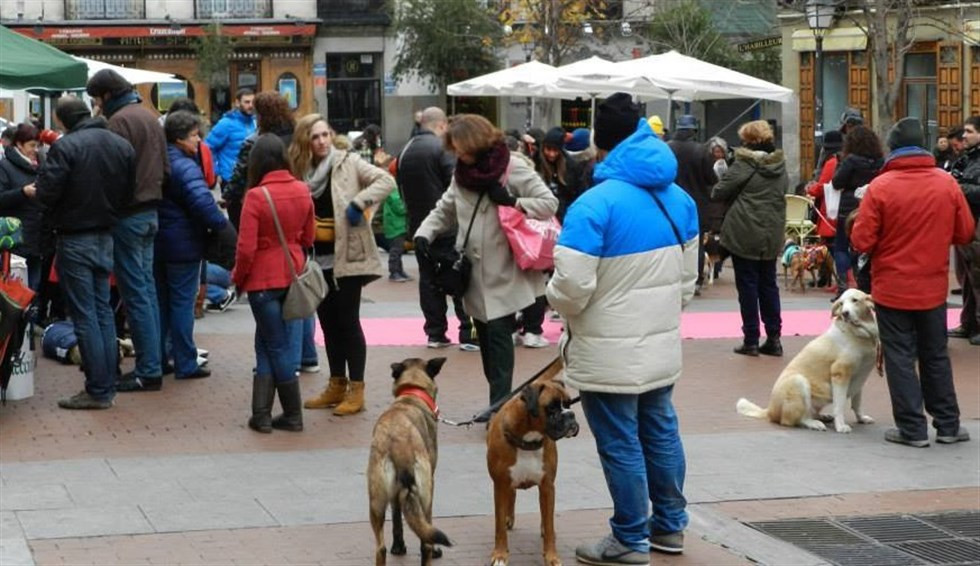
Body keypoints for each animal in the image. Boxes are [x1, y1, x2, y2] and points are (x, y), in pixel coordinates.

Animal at [368, 360, 452, 566]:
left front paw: (398, 547)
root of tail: (399, 446)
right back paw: (433, 551)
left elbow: (397, 519)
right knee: (426, 542)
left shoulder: (395, 494)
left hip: (376, 500)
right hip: (425, 495)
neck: (412, 394)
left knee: (380, 548)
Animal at [486, 362, 580, 564]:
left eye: (569, 404)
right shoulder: (500, 484)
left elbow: (550, 522)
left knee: (546, 515)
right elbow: (499, 525)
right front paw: (500, 554)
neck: (528, 439)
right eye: (551, 408)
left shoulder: (547, 486)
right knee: (511, 496)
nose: (571, 415)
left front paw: (552, 557)